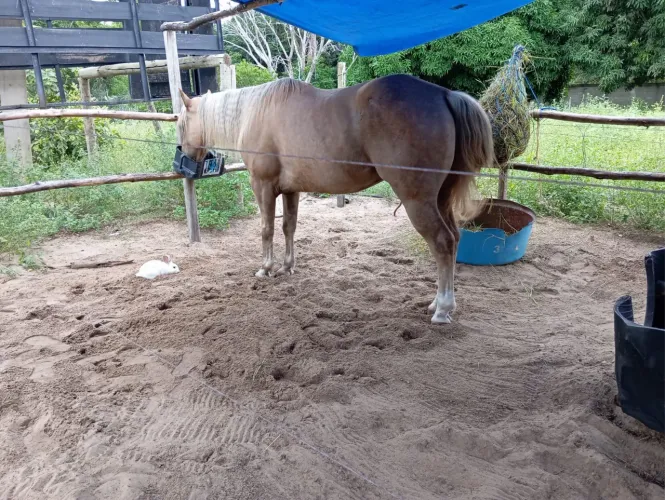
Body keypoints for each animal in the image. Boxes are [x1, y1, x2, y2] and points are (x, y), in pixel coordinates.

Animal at [177, 74, 493, 324]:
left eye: (180, 124)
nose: (183, 161)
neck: (255, 112)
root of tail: (444, 95)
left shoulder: (263, 186)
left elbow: (266, 229)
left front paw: (265, 268)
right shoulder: (291, 190)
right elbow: (288, 227)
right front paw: (287, 266)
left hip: (418, 200)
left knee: (442, 242)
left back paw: (442, 309)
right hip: (440, 198)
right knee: (454, 239)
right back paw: (437, 302)